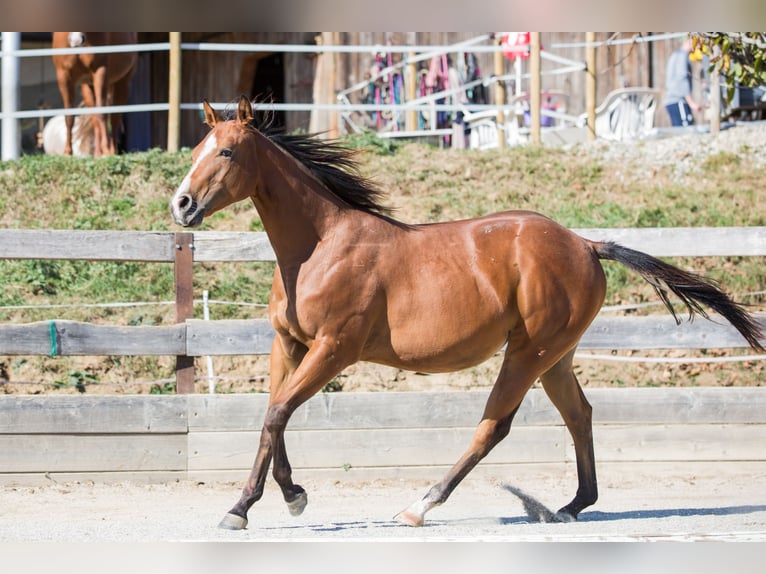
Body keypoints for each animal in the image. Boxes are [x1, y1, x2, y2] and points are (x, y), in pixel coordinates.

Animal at [170, 95, 765, 530]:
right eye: (198, 146)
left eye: (226, 153)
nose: (181, 205)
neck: (319, 246)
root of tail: (585, 244)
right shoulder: (288, 344)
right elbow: (271, 418)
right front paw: (261, 503)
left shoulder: (334, 349)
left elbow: (277, 413)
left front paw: (272, 501)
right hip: (556, 357)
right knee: (579, 415)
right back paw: (572, 506)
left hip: (528, 352)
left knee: (493, 427)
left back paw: (420, 506)